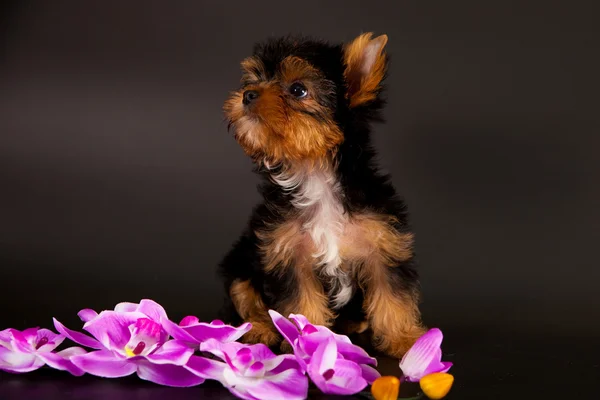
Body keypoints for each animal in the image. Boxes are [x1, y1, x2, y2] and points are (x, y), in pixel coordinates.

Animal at [218, 31, 424, 356]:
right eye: (254, 80)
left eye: (298, 89)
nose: (247, 94)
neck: (315, 175)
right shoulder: (287, 253)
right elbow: (300, 301)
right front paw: (306, 338)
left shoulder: (382, 241)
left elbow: (393, 293)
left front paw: (404, 338)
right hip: (239, 263)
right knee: (244, 295)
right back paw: (260, 328)